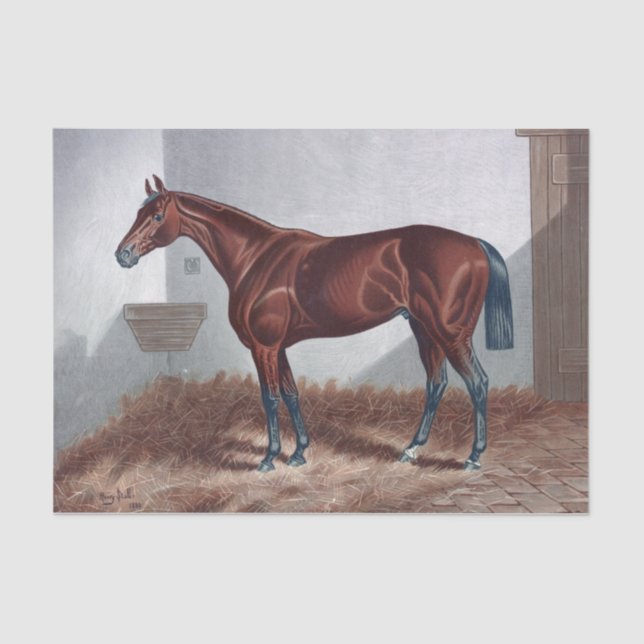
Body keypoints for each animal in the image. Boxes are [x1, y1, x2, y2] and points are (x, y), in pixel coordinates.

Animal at [116, 175, 513, 472]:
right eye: (138, 212)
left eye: (156, 216)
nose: (123, 254)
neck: (255, 257)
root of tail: (474, 244)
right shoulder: (278, 347)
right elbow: (291, 394)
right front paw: (299, 452)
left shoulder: (263, 347)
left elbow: (270, 398)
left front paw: (268, 458)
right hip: (424, 330)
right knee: (436, 383)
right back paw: (411, 449)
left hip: (450, 333)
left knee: (477, 383)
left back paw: (473, 457)